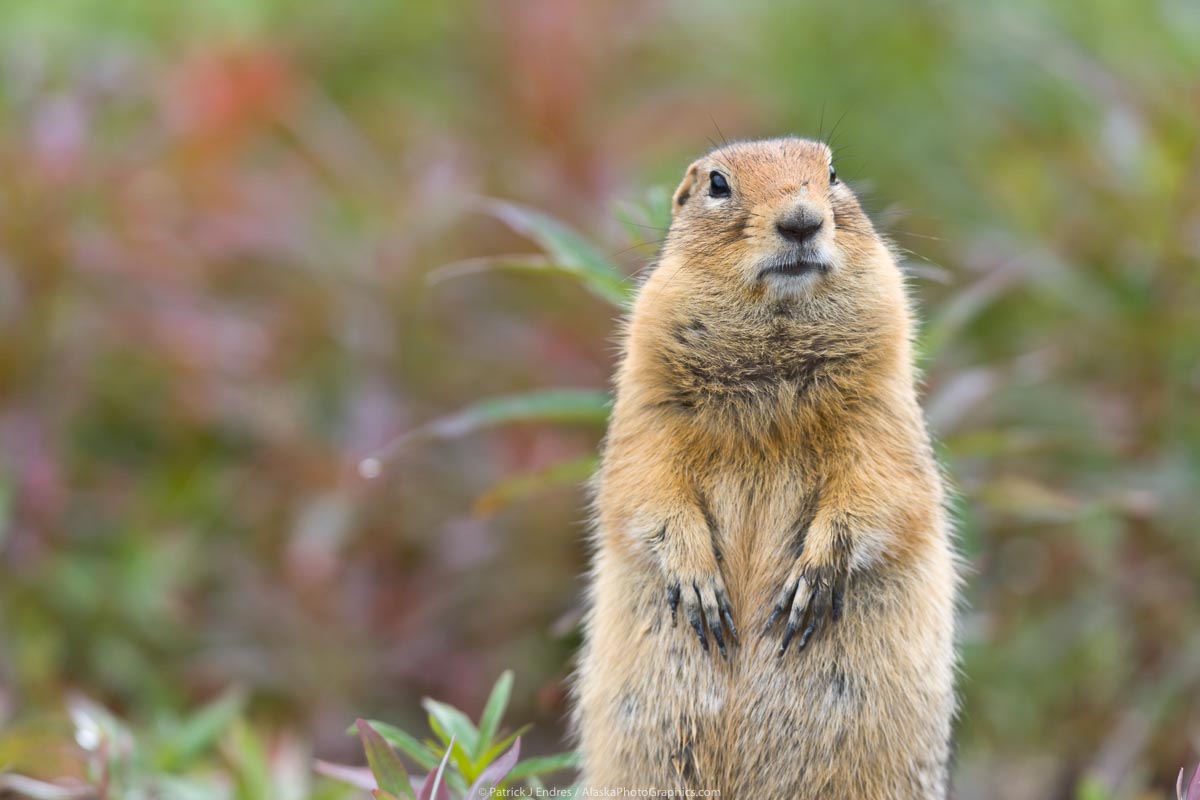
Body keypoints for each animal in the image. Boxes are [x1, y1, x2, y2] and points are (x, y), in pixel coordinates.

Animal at [568, 134, 955, 796]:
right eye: (718, 184)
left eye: (833, 172)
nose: (801, 221)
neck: (771, 375)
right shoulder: (648, 410)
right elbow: (642, 487)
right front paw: (699, 583)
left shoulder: (883, 413)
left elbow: (880, 488)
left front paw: (812, 581)